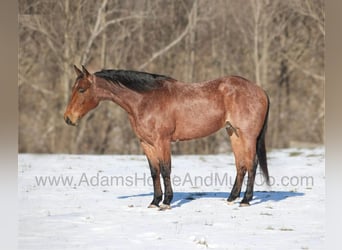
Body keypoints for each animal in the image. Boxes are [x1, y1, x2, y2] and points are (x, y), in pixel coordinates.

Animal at [63, 65, 270, 209]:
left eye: (81, 90)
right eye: (73, 88)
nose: (68, 118)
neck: (145, 100)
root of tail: (260, 90)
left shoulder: (161, 141)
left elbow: (165, 169)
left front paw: (167, 202)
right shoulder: (146, 143)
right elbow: (154, 171)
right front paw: (154, 201)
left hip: (248, 136)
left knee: (251, 165)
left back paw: (245, 200)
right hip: (233, 133)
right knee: (241, 165)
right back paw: (231, 198)